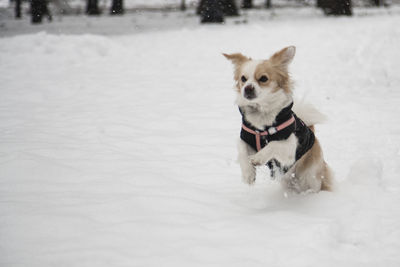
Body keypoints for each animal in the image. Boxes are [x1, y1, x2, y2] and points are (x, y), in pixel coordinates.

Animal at [223, 45, 332, 193]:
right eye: (243, 79)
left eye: (263, 78)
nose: (247, 88)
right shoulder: (246, 137)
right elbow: (242, 150)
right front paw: (248, 174)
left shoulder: (290, 149)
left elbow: (273, 144)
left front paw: (258, 157)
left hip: (310, 177)